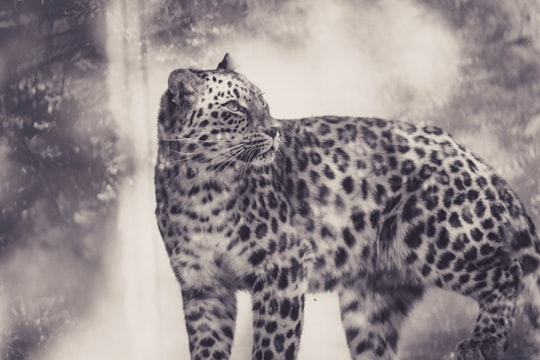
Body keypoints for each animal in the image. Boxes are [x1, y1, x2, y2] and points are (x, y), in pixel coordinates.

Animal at [153, 54, 540, 360]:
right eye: (234, 108)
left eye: (263, 101)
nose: (275, 131)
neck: (199, 186)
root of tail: (470, 154)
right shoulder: (203, 286)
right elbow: (207, 347)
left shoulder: (283, 268)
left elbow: (272, 345)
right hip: (370, 302)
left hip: (434, 238)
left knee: (508, 271)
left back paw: (483, 341)